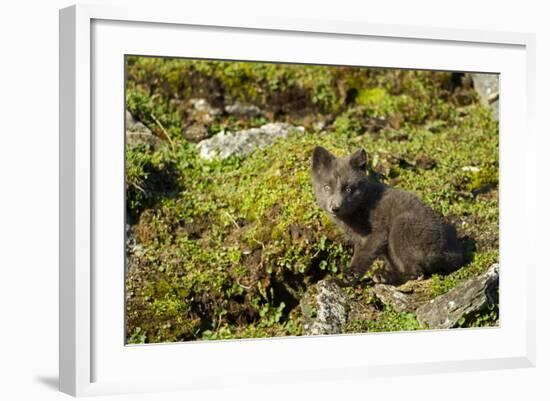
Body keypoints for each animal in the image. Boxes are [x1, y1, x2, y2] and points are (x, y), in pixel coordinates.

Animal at [312, 146, 464, 284]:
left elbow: (362, 256)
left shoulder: (378, 234)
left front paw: (346, 278)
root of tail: (445, 252)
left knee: (416, 272)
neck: (361, 204)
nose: (335, 208)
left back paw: (384, 276)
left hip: (401, 227)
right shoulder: (359, 239)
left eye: (349, 189)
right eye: (327, 187)